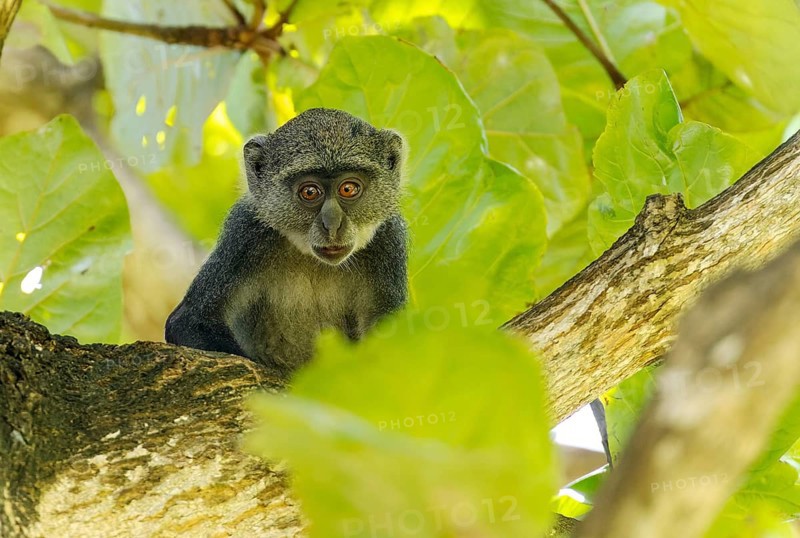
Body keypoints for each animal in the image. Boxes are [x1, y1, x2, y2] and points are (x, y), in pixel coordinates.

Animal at [165, 108, 408, 375]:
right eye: (310, 192)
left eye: (348, 189)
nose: (332, 225)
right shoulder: (244, 234)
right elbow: (189, 322)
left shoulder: (389, 241)